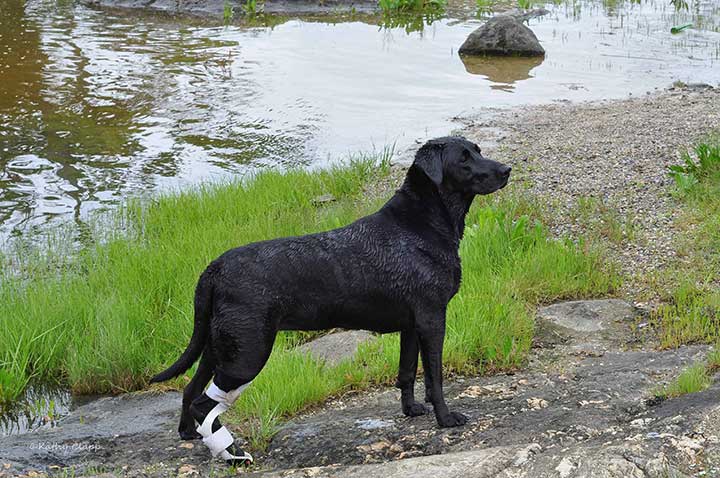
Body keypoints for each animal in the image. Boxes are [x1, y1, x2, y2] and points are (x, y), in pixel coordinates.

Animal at [150, 136, 512, 464]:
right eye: (463, 159)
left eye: (478, 150)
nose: (506, 169)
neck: (420, 224)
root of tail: (214, 268)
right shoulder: (432, 319)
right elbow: (435, 377)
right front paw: (446, 419)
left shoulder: (412, 326)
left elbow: (407, 372)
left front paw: (411, 410)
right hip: (246, 355)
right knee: (205, 404)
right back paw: (231, 453)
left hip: (218, 348)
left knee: (190, 390)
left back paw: (189, 434)